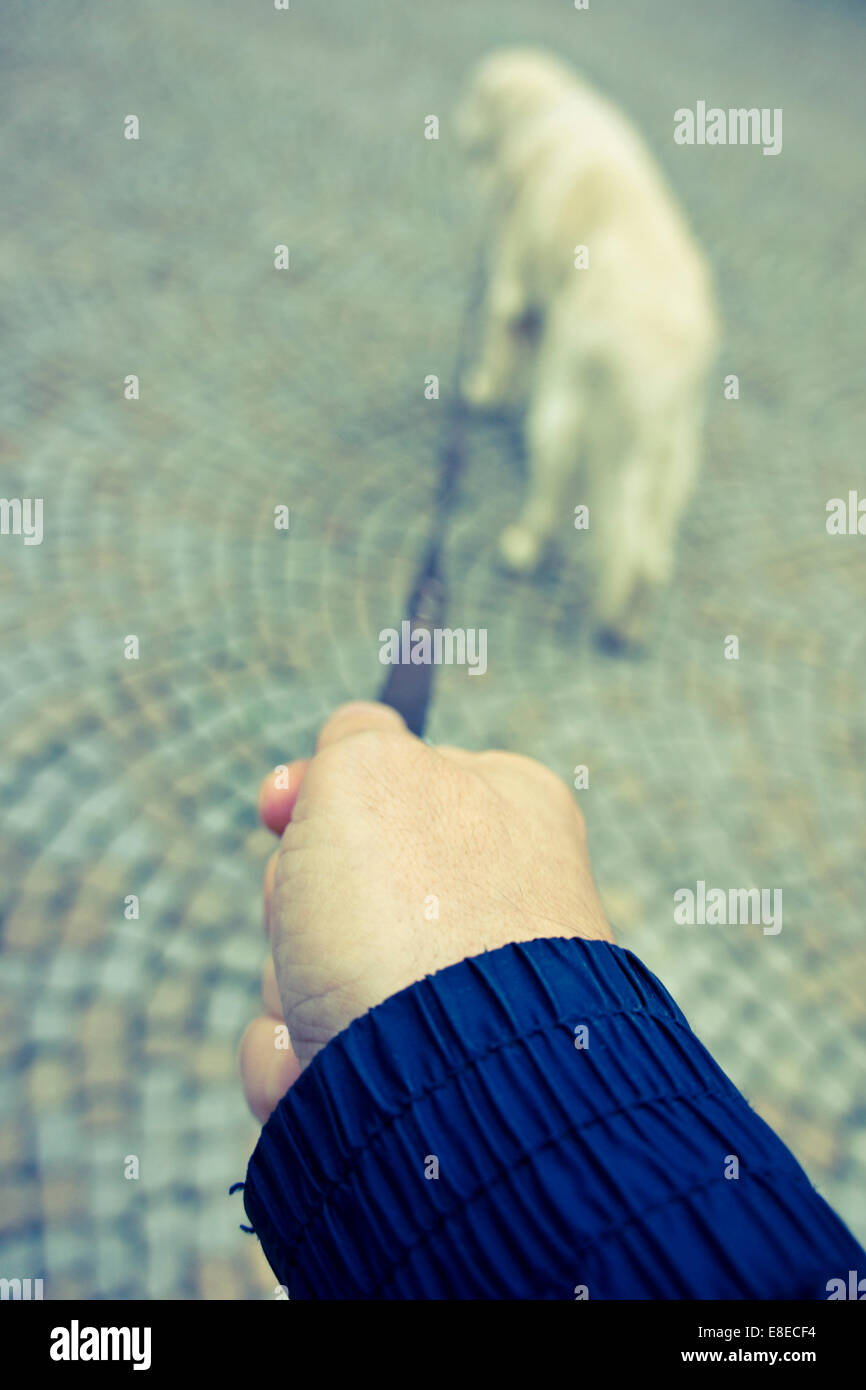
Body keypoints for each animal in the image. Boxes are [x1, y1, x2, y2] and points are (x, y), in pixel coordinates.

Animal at [461, 48, 717, 644]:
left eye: (474, 96)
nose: (456, 126)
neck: (550, 111)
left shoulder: (513, 278)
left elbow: (501, 344)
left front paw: (484, 393)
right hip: (674, 450)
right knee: (650, 554)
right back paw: (630, 627)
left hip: (570, 403)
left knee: (563, 501)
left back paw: (523, 549)